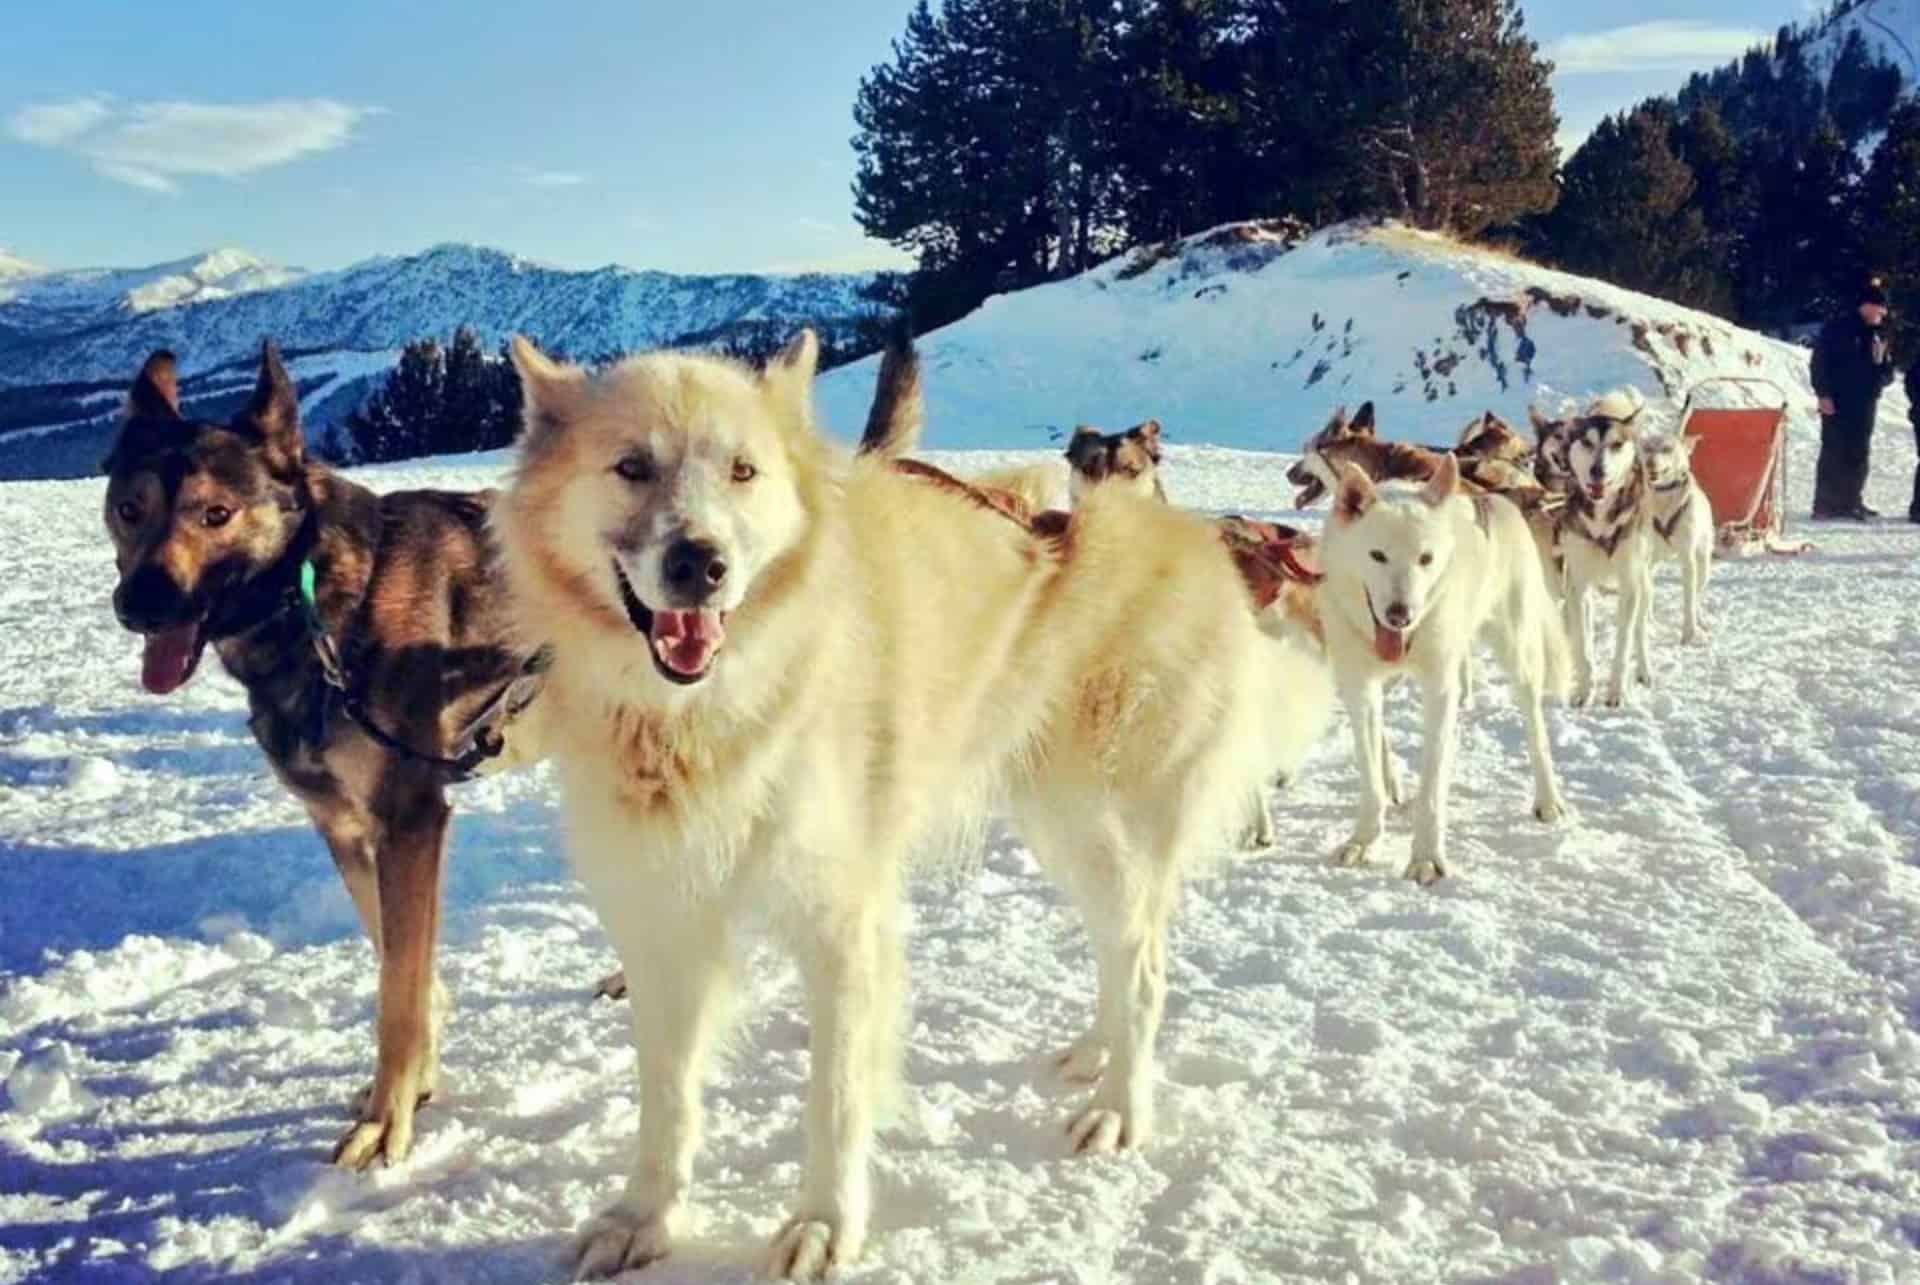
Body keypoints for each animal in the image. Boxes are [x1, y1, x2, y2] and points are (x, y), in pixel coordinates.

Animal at [100, 345, 549, 1167]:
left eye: (216, 514)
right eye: (129, 509)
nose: (141, 604)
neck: (319, 606)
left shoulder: (412, 823)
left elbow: (398, 995)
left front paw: (386, 1120)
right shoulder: (344, 828)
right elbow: (400, 965)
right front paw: (417, 1080)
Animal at [495, 328, 1336, 1275]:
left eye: (743, 470)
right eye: (631, 466)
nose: (699, 563)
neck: (716, 707)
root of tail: (1193, 539)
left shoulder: (842, 924)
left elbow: (833, 1098)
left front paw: (823, 1223)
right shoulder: (665, 921)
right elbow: (667, 1097)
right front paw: (645, 1216)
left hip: (1096, 825)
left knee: (1146, 964)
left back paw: (1120, 1105)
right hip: (1064, 833)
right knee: (1122, 952)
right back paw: (1097, 1050)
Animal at [1320, 455, 1574, 887]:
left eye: (1425, 559)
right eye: (1377, 555)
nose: (1400, 615)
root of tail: (1498, 500)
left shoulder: (1439, 688)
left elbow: (1432, 782)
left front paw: (1426, 858)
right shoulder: (1361, 689)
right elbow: (1369, 773)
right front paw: (1365, 840)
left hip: (1518, 655)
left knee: (1535, 727)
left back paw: (1547, 799)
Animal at [1635, 430, 1712, 645]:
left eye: (1667, 449)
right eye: (1647, 448)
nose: (1650, 463)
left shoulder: (1688, 558)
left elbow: (1689, 601)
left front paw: (1690, 634)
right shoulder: (1642, 560)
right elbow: (1645, 597)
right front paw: (1648, 627)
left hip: (1703, 564)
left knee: (1697, 594)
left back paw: (1700, 620)